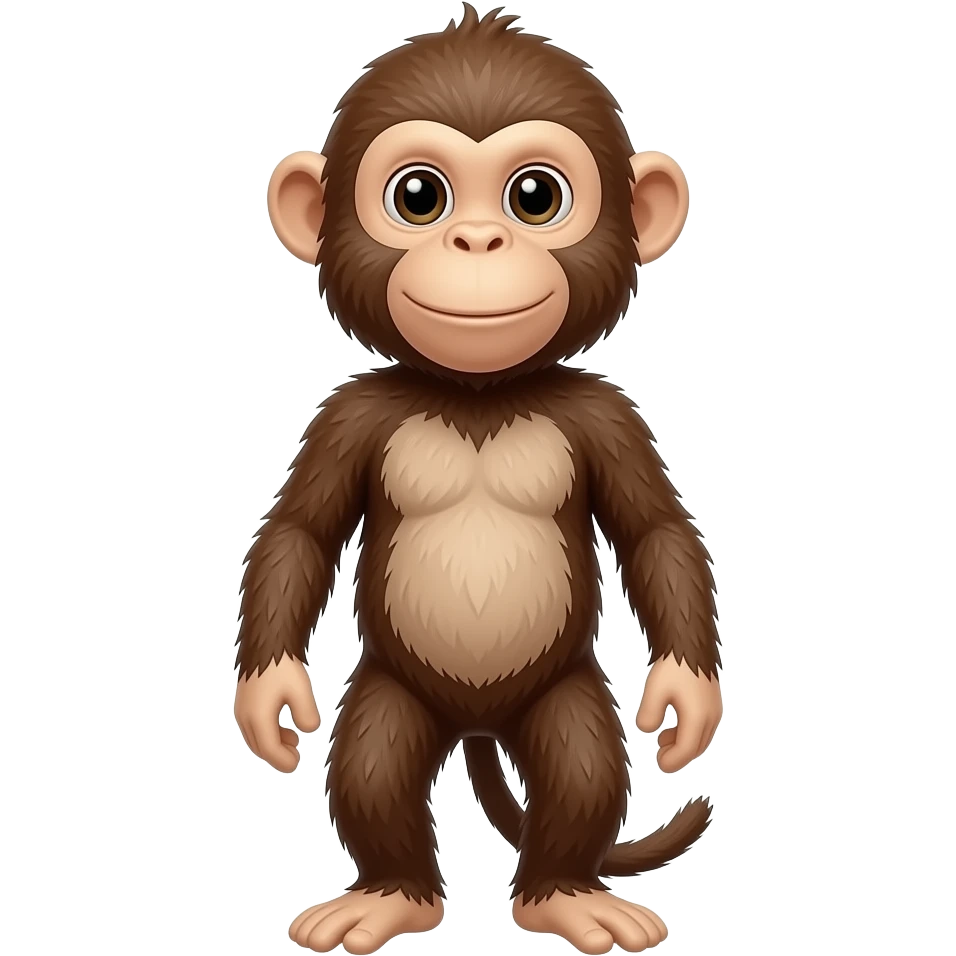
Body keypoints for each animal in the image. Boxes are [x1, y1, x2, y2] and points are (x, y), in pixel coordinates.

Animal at [237, 6, 722, 955]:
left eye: (535, 196)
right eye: (418, 197)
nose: (478, 240)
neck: (478, 395)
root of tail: (478, 726)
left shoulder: (607, 415)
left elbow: (657, 533)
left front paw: (688, 699)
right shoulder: (349, 414)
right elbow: (299, 534)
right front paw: (267, 695)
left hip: (561, 690)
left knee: (580, 762)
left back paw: (563, 894)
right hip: (394, 690)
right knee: (374, 763)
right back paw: (391, 895)